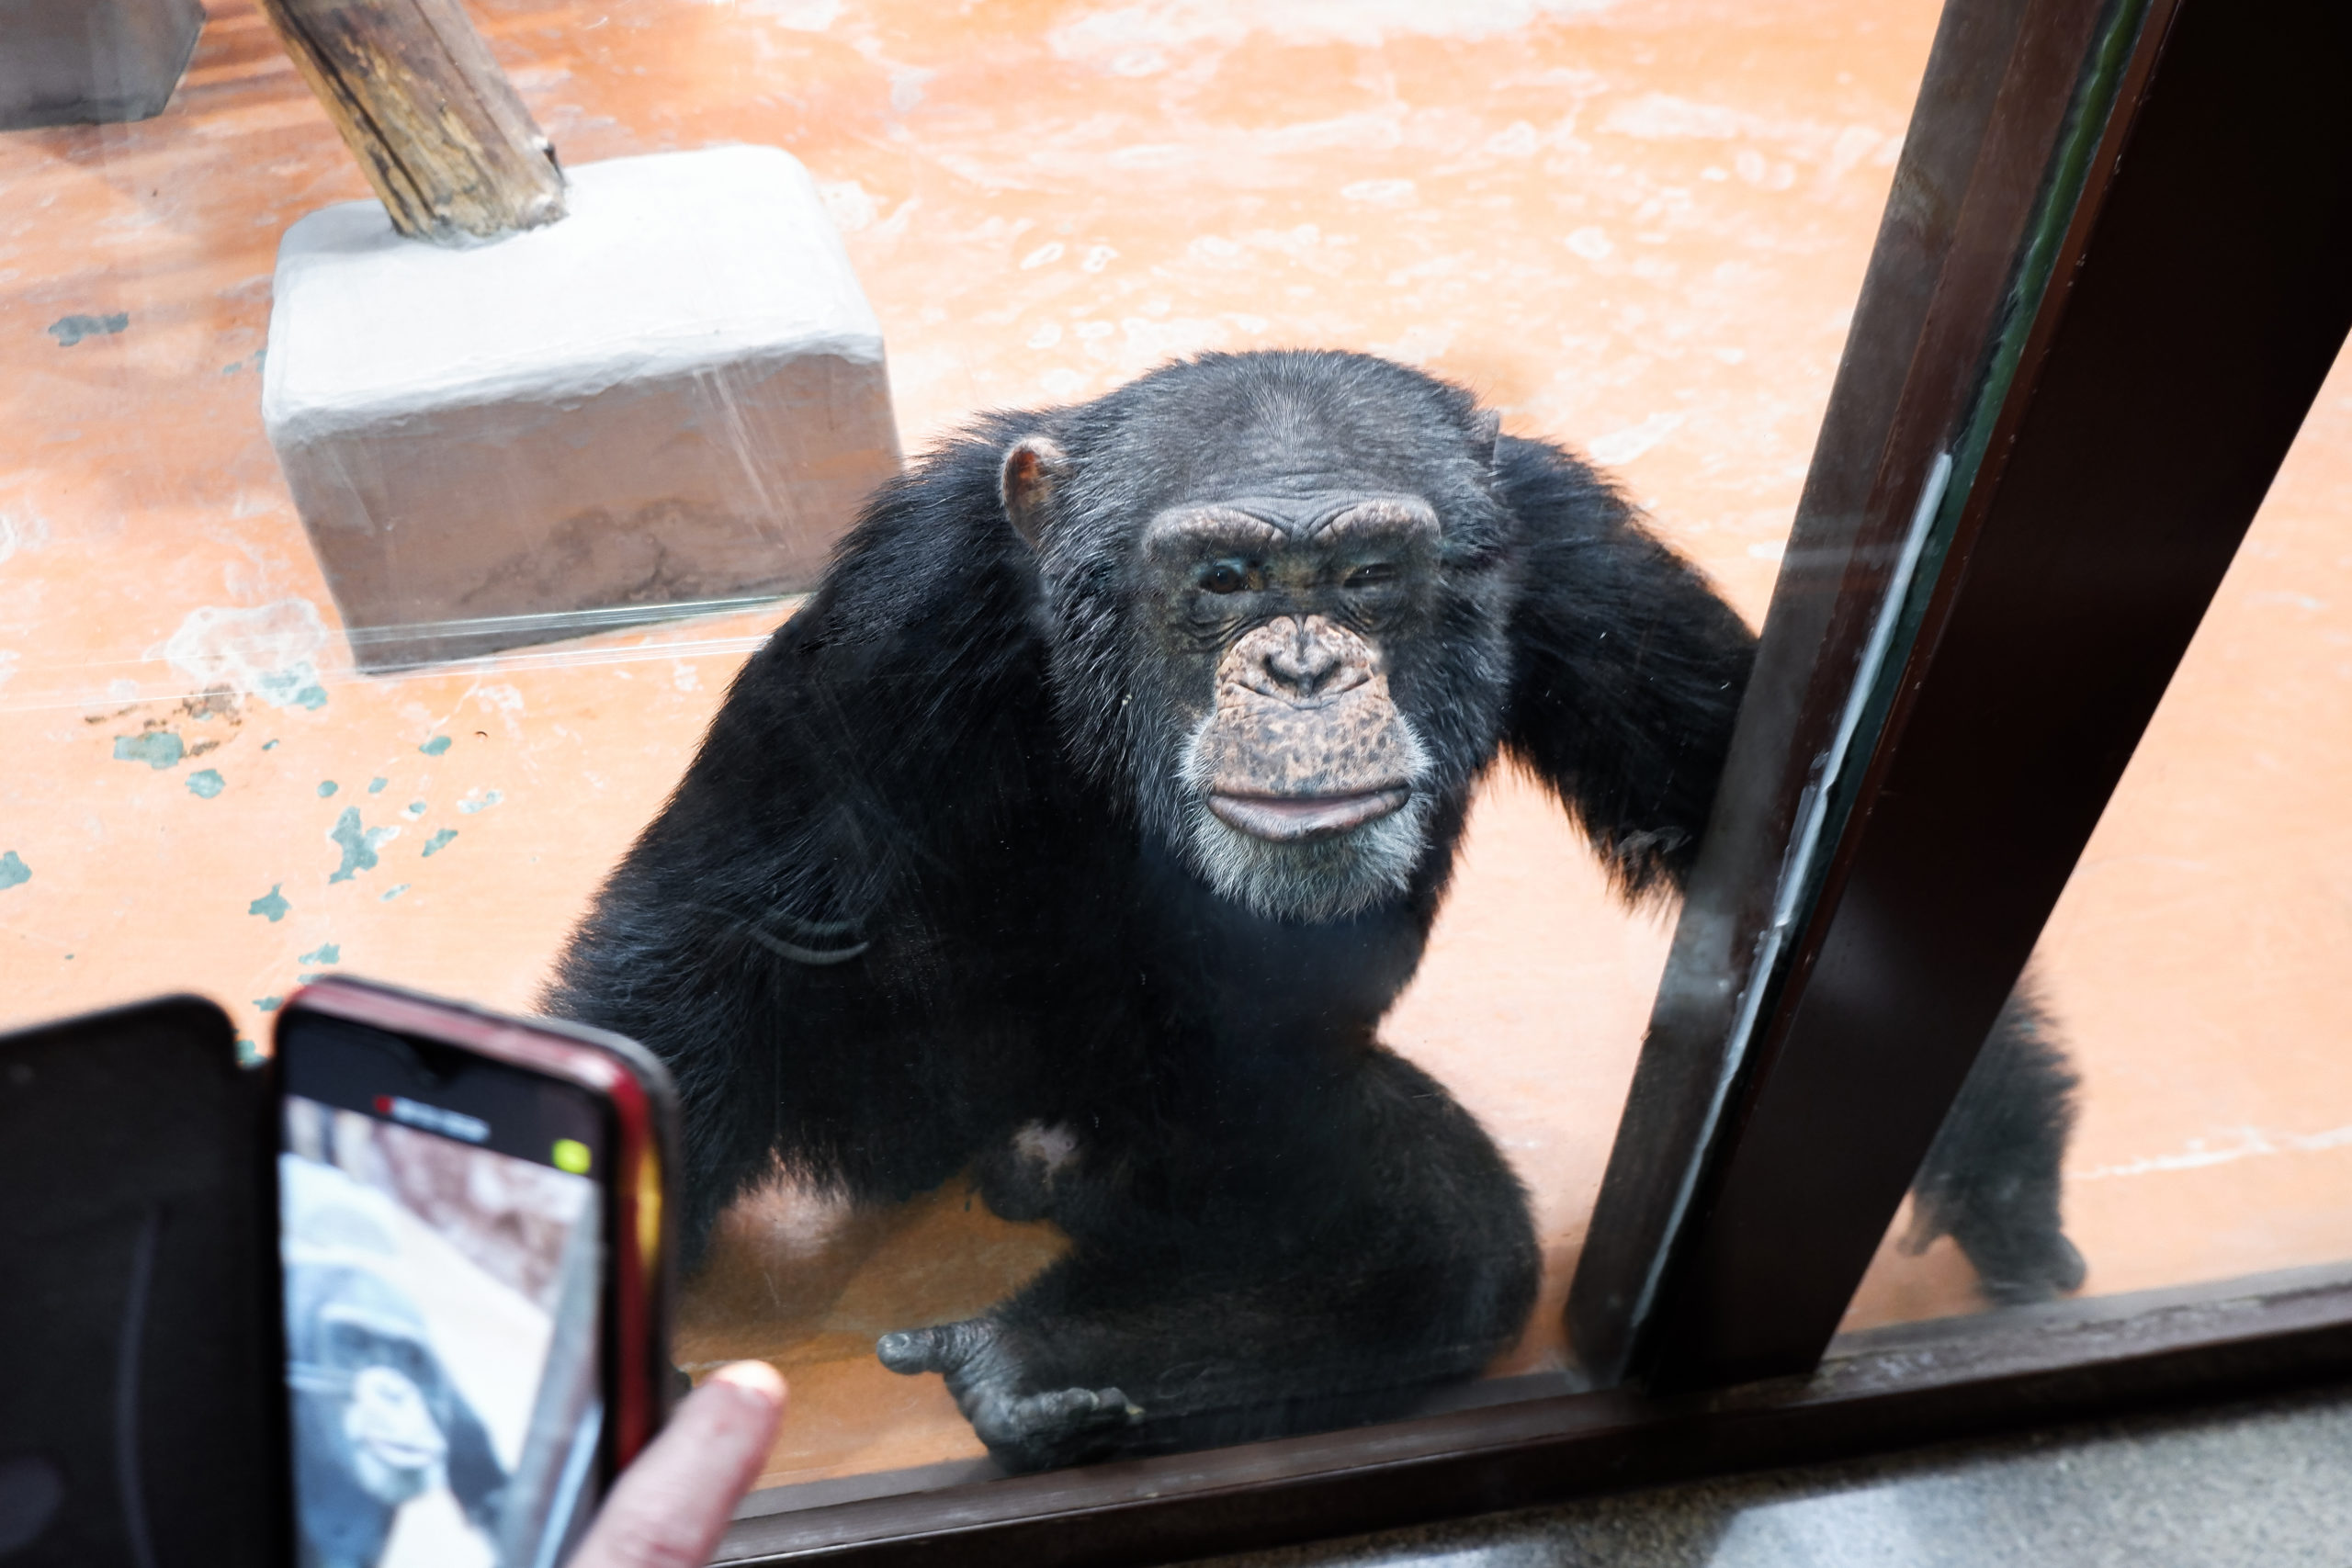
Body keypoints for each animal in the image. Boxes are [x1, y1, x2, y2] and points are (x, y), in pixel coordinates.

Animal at [545, 343, 2079, 1476]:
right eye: (1223, 579)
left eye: (1366, 576)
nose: (1299, 667)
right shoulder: (896, 605)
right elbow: (729, 912)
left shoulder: (1584, 565)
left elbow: (1737, 812)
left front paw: (2004, 1174)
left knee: (1436, 1238)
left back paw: (1032, 1357)